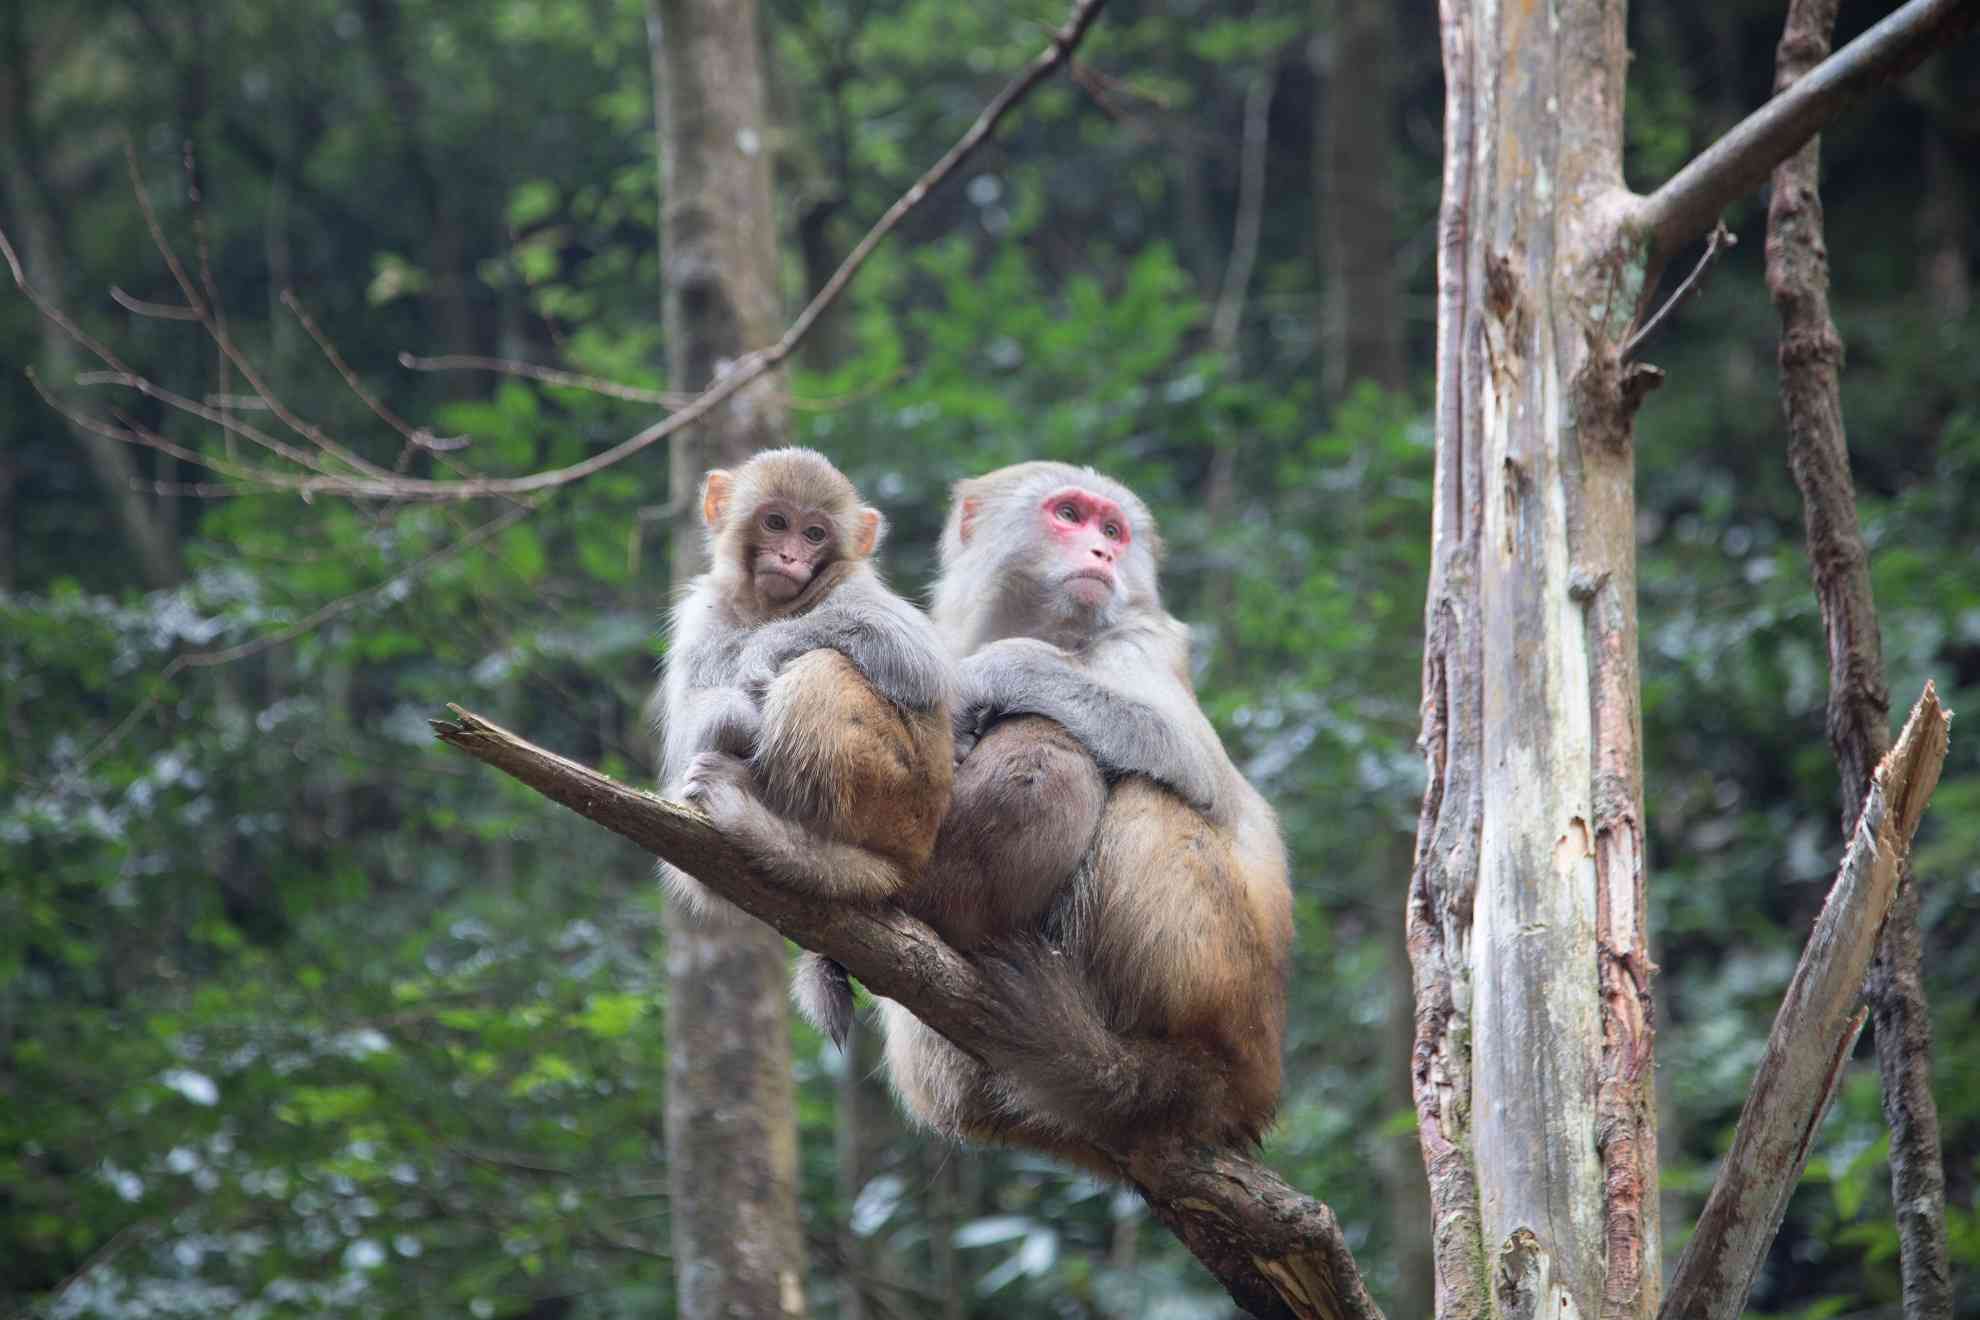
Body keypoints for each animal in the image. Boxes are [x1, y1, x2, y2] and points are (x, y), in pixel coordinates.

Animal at [653, 449, 954, 1044]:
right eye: (776, 522)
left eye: (815, 533)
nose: (790, 555)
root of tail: (909, 858)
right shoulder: (706, 611)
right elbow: (696, 718)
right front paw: (730, 712)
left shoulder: (854, 587)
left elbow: (916, 658)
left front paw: (762, 652)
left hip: (894, 794)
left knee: (822, 667)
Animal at [875, 459, 1290, 1163]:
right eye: (1069, 515)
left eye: (1113, 530)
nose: (1102, 553)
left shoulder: (1143, 641)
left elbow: (1193, 764)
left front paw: (1003, 667)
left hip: (1232, 994)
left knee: (1145, 792)